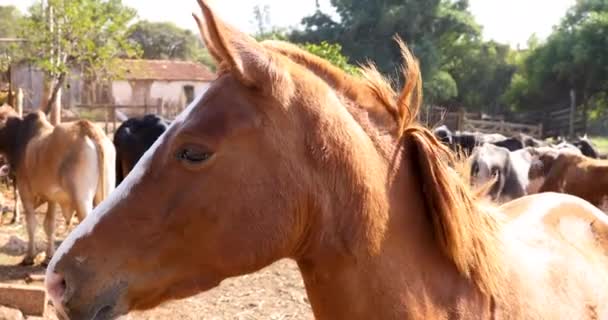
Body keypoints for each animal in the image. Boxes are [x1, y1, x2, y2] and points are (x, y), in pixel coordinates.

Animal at [0, 105, 115, 264]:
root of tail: (87, 128)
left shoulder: (25, 190)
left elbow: (31, 223)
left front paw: (30, 257)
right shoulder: (52, 197)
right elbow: (49, 225)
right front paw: (49, 256)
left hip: (82, 198)